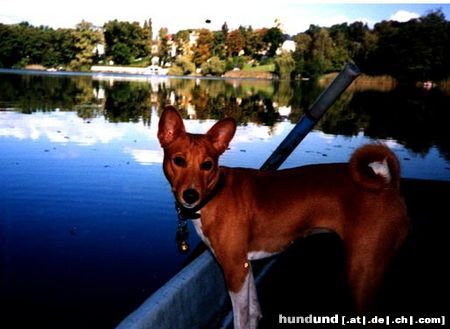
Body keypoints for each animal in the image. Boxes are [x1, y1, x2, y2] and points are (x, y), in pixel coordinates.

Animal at [156, 105, 410, 328]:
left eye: (207, 165)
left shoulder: (234, 268)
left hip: (362, 270)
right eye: (179, 160)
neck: (214, 194)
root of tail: (388, 185)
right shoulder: (245, 264)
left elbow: (241, 319)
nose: (190, 194)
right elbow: (253, 312)